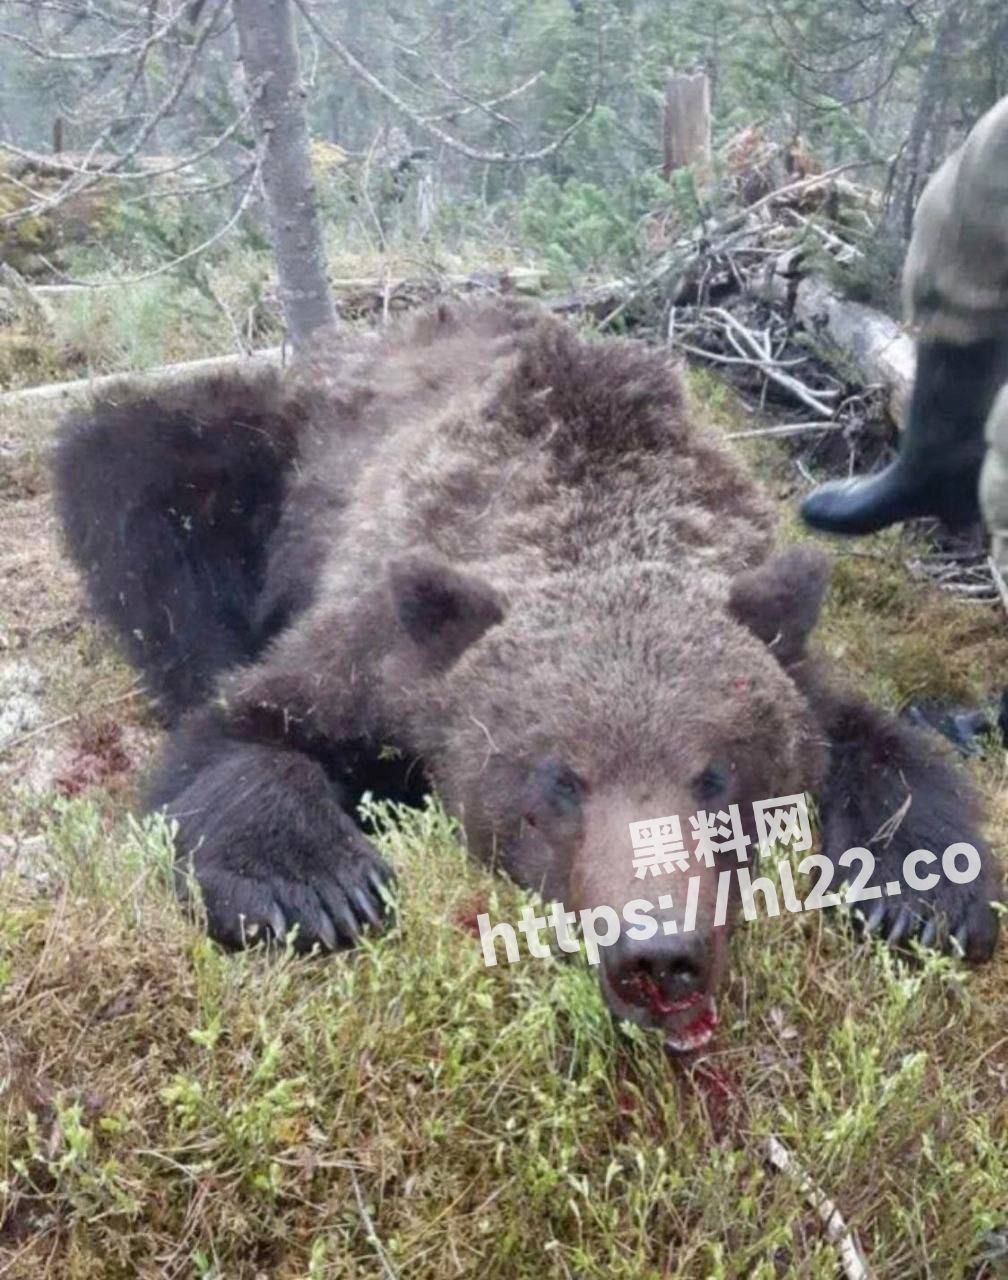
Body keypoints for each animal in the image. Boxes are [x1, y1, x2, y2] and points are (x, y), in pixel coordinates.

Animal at [54, 300, 1002, 1053]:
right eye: (560, 780)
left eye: (716, 776)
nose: (659, 954)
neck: (598, 509)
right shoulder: (384, 647)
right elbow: (243, 729)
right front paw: (315, 886)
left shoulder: (784, 652)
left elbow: (879, 747)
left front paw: (920, 894)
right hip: (261, 450)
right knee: (141, 471)